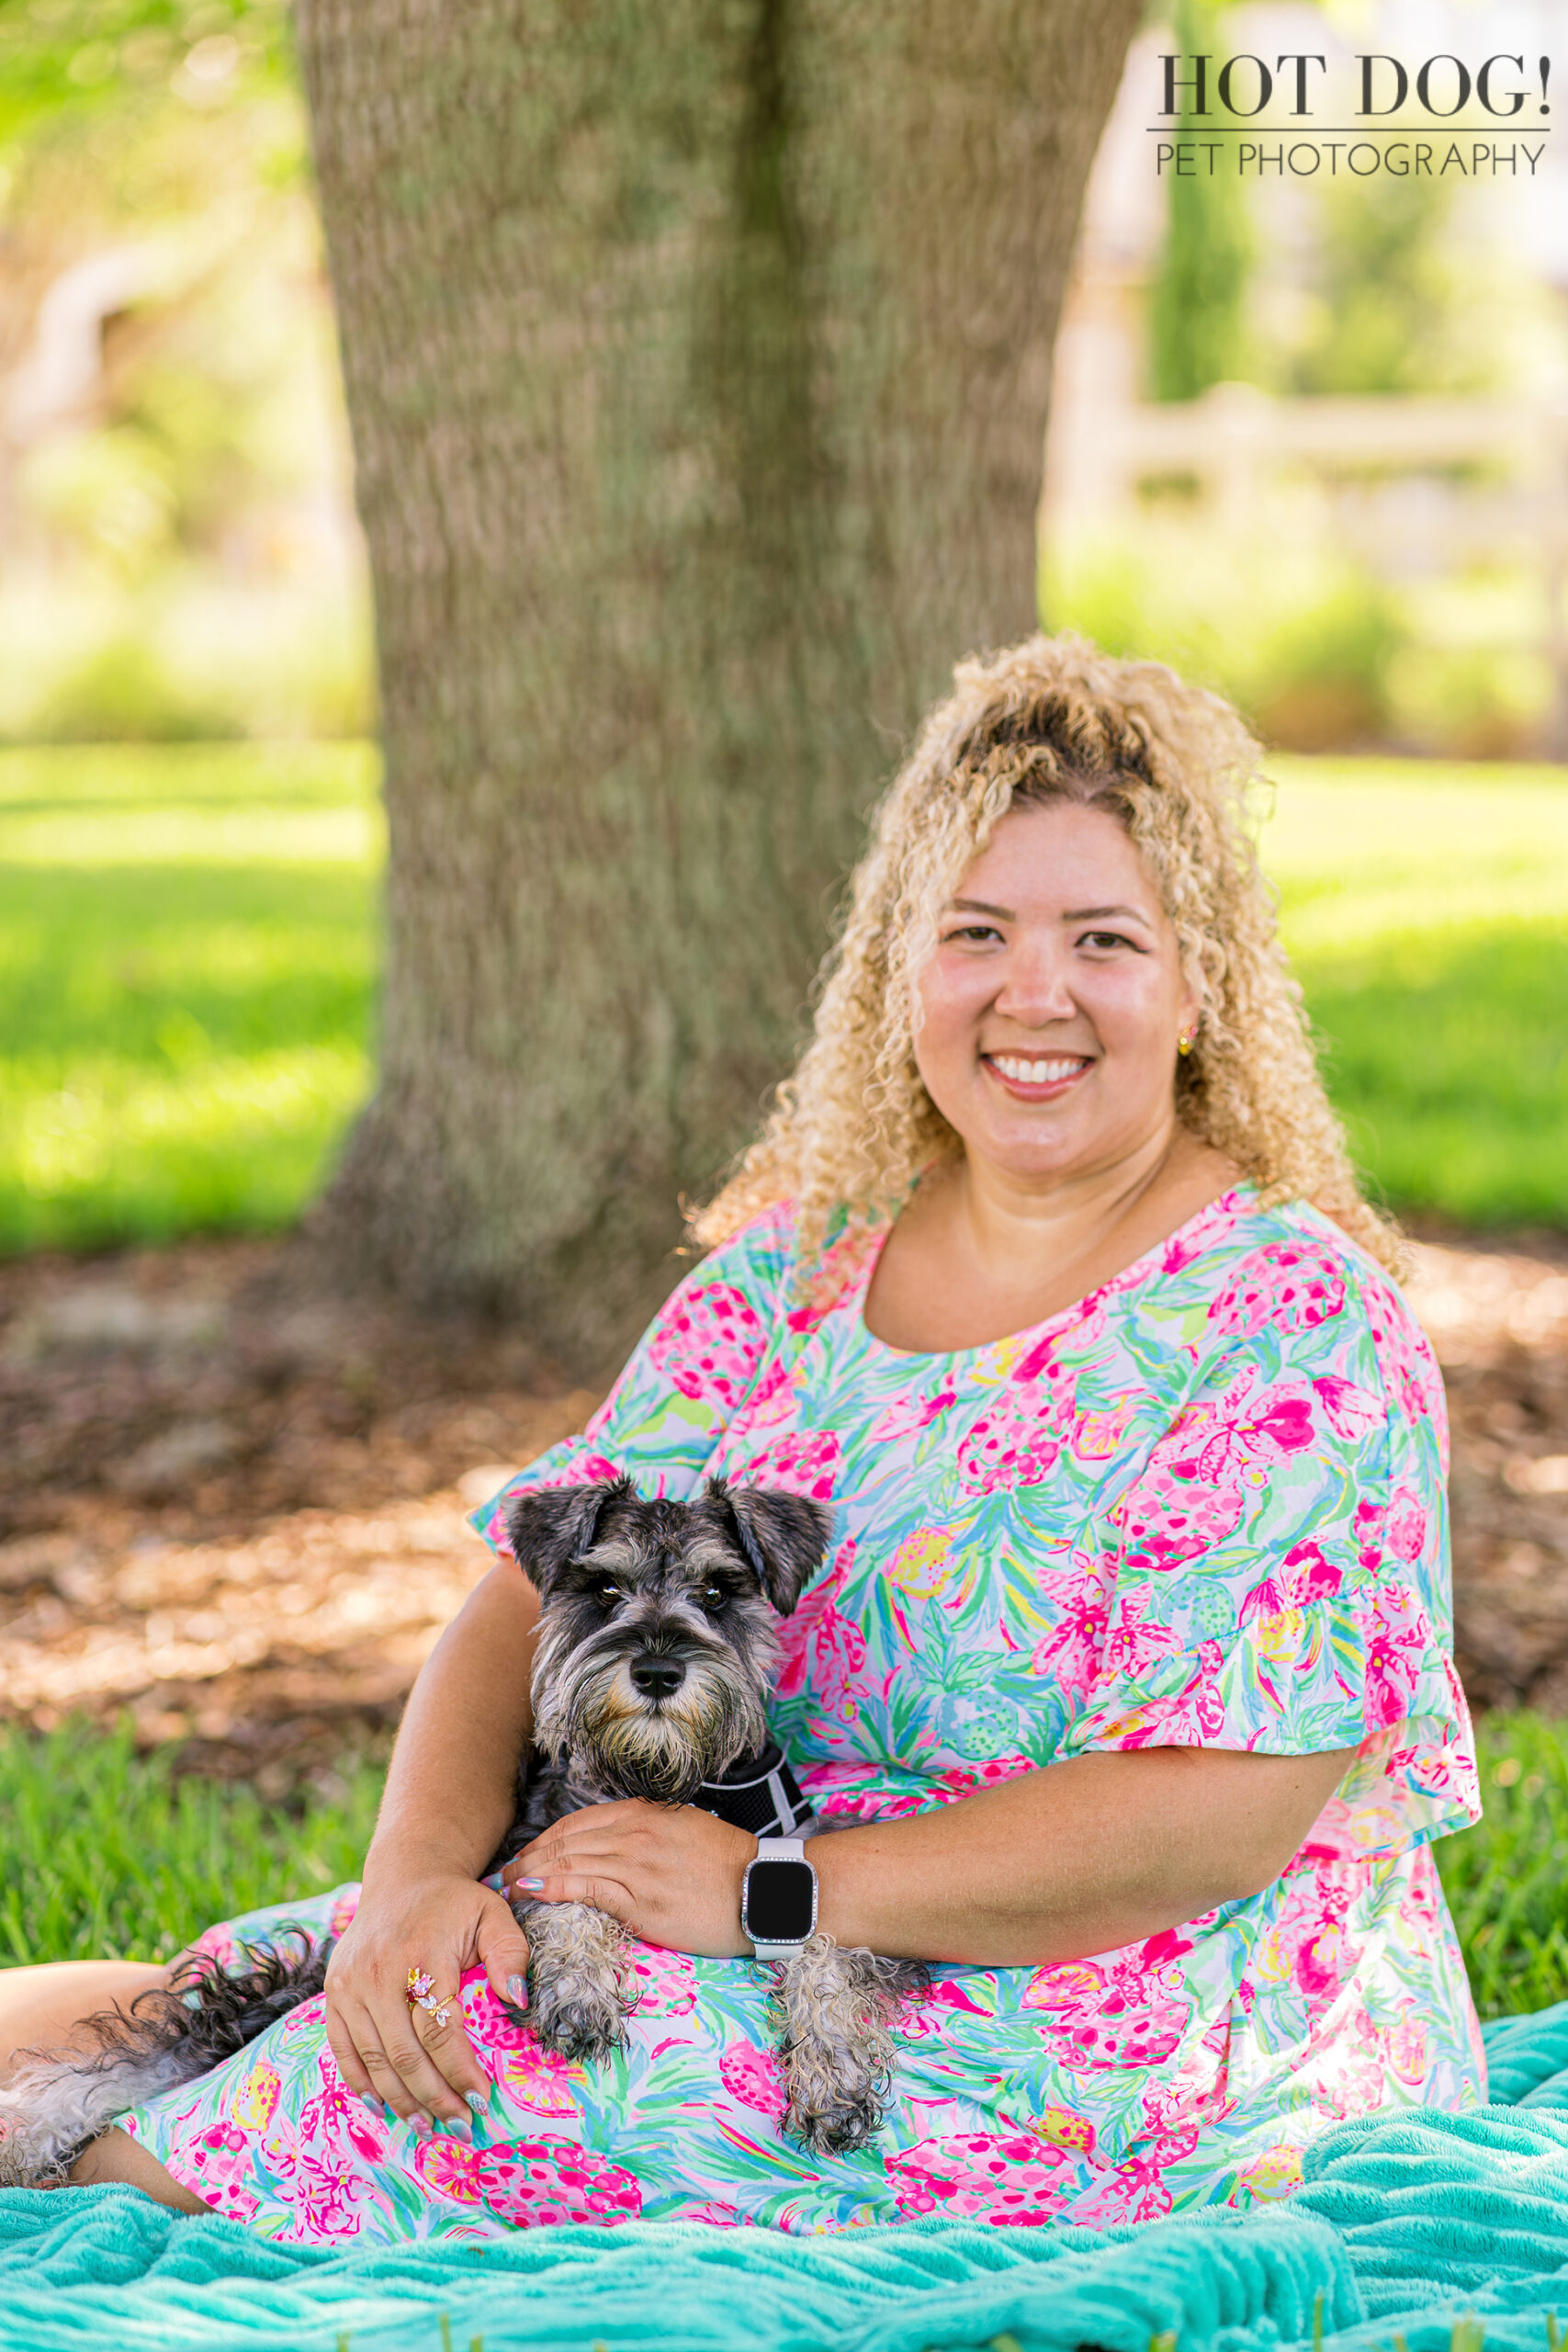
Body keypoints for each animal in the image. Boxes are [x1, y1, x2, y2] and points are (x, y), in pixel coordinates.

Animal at [0, 1467, 926, 2182]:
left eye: (717, 1592)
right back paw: (27, 2137)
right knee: (164, 2047)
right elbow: (563, 1900)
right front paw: (579, 1983)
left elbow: (825, 1952)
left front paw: (835, 2071)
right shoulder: (529, 1863)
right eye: (604, 1590)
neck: (668, 1782)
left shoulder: (799, 1873)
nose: (659, 1669)